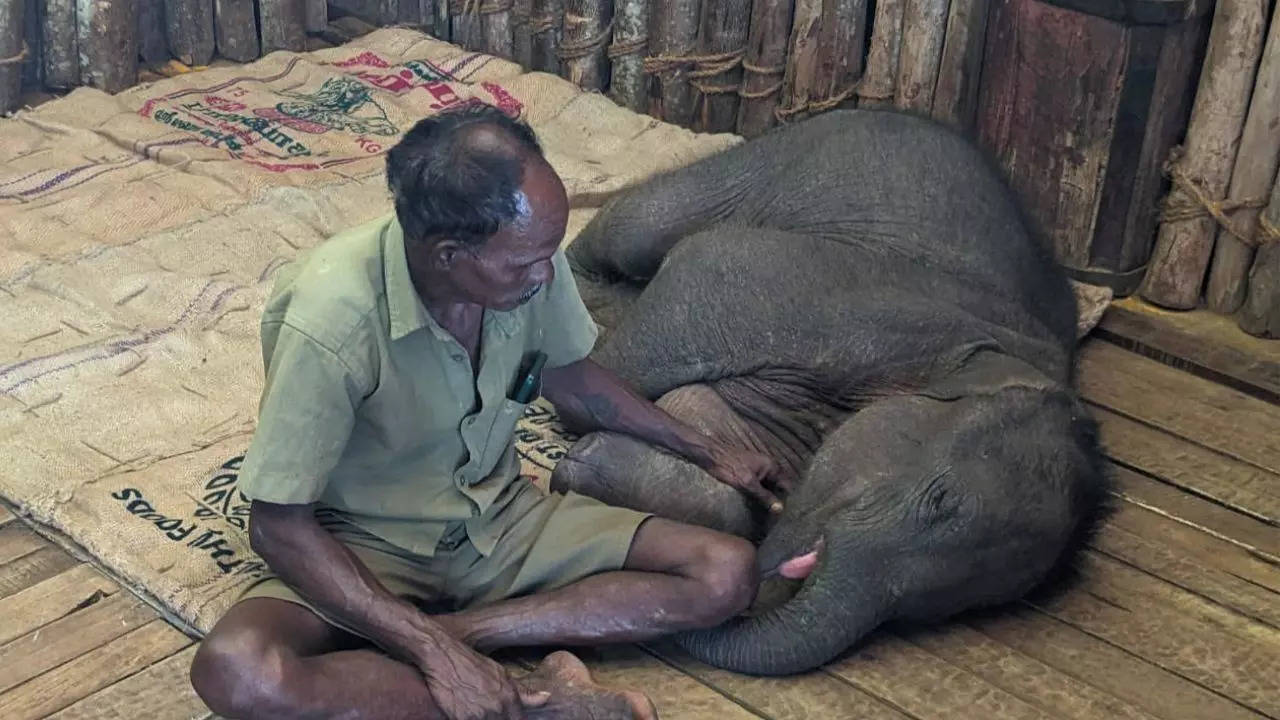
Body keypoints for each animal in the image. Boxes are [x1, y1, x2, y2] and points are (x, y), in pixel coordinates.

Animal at [550, 106, 1111, 671]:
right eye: (940, 499)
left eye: (949, 609)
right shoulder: (855, 317)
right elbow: (706, 271)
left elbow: (715, 425)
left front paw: (595, 466)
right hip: (751, 168)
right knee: (638, 226)